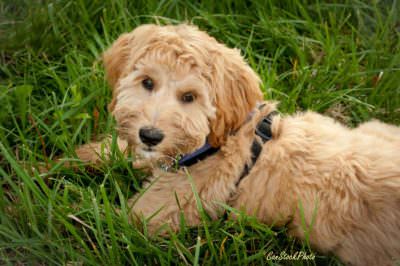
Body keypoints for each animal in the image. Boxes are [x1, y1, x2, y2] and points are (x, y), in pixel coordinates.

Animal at [76, 23, 400, 264]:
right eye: (147, 82)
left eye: (189, 97)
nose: (150, 135)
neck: (221, 143)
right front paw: (80, 156)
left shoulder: (153, 212)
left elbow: (101, 221)